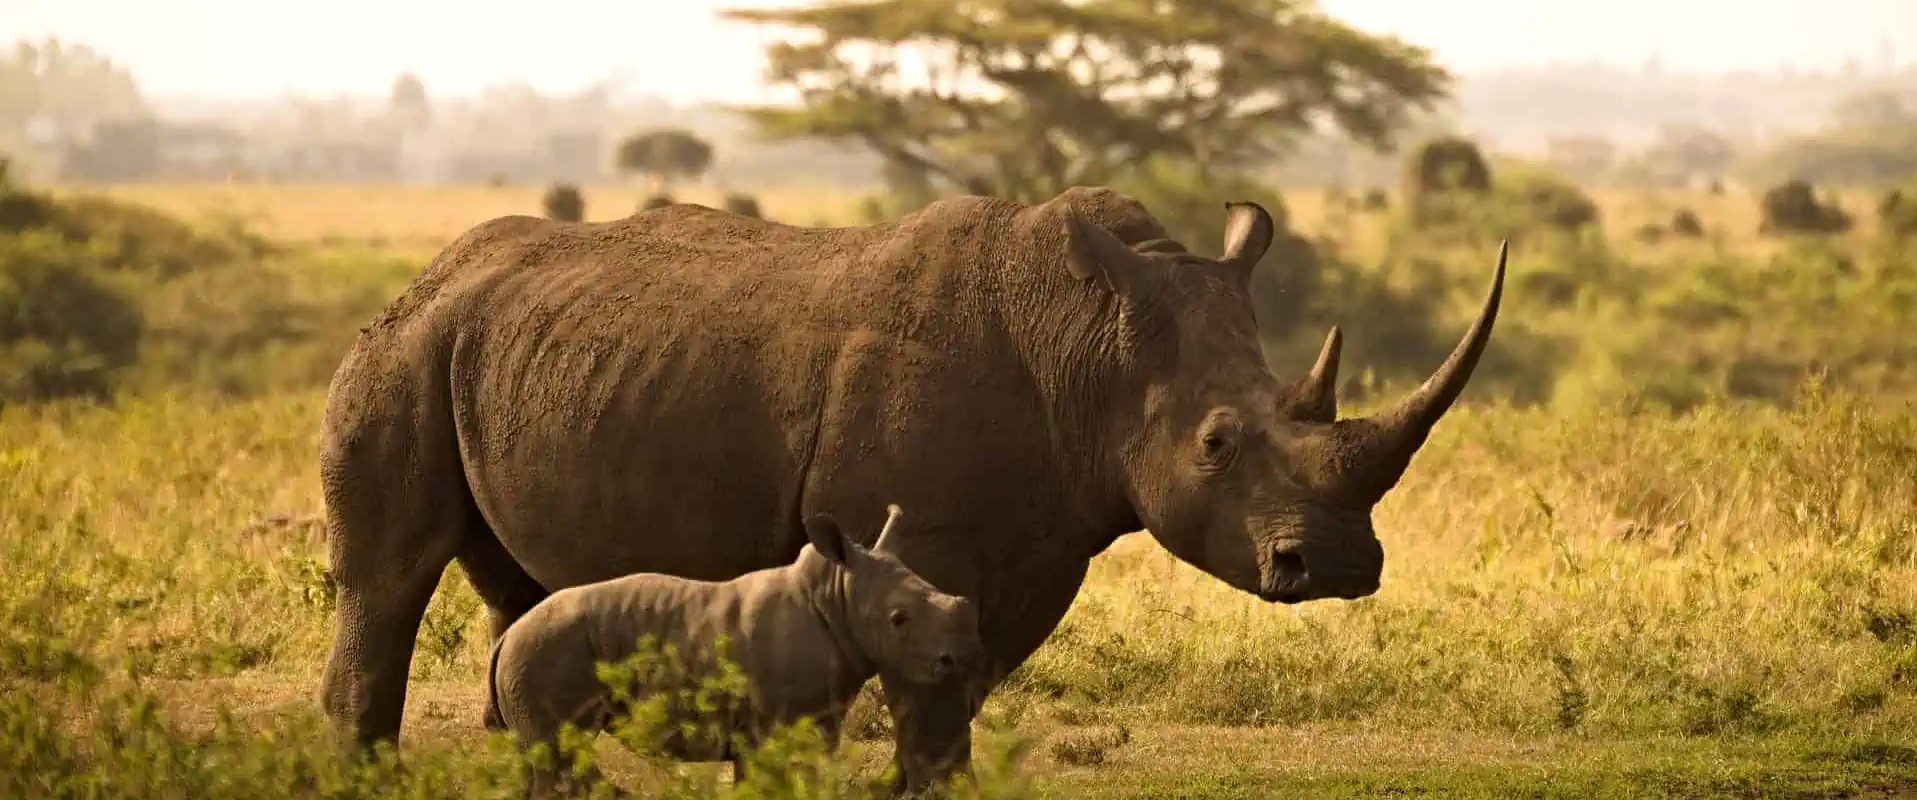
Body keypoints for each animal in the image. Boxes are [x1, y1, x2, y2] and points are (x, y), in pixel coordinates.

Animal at [486, 504, 980, 796]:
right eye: (898, 620)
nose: (959, 658)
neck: (836, 596)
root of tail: (506, 639)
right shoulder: (777, 723)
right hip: (544, 653)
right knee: (558, 761)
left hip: (536, 655)